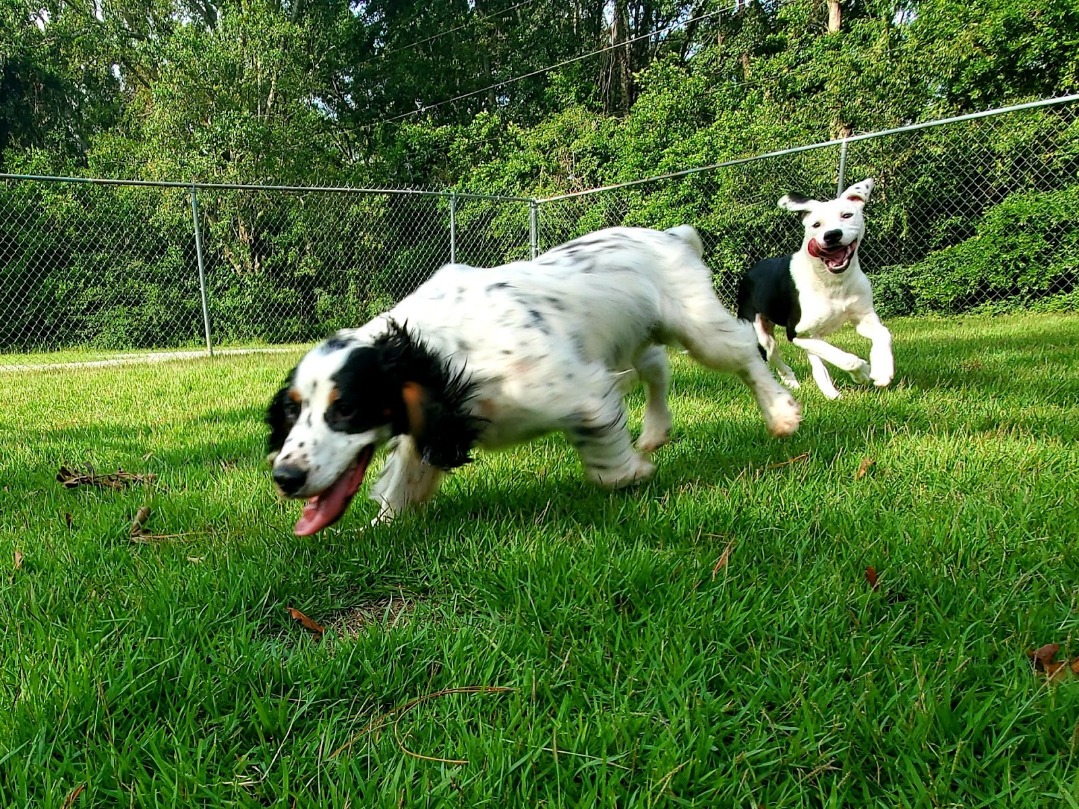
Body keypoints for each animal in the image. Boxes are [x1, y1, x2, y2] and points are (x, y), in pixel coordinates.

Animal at [265, 225, 802, 534]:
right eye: (293, 409)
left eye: (345, 408)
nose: (285, 477)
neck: (442, 352)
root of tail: (672, 234)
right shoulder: (433, 423)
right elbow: (406, 479)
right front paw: (377, 527)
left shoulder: (583, 393)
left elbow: (605, 463)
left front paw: (631, 473)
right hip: (638, 334)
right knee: (657, 366)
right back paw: (654, 431)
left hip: (696, 325)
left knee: (746, 353)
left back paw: (780, 412)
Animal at [736, 179, 894, 400]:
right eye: (816, 224)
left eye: (847, 215)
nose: (832, 235)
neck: (833, 281)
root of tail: (750, 271)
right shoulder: (795, 332)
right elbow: (847, 359)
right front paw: (862, 371)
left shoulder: (864, 318)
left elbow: (883, 334)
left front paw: (882, 370)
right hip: (764, 334)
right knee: (773, 354)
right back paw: (790, 380)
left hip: (812, 336)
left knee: (817, 361)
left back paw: (828, 391)